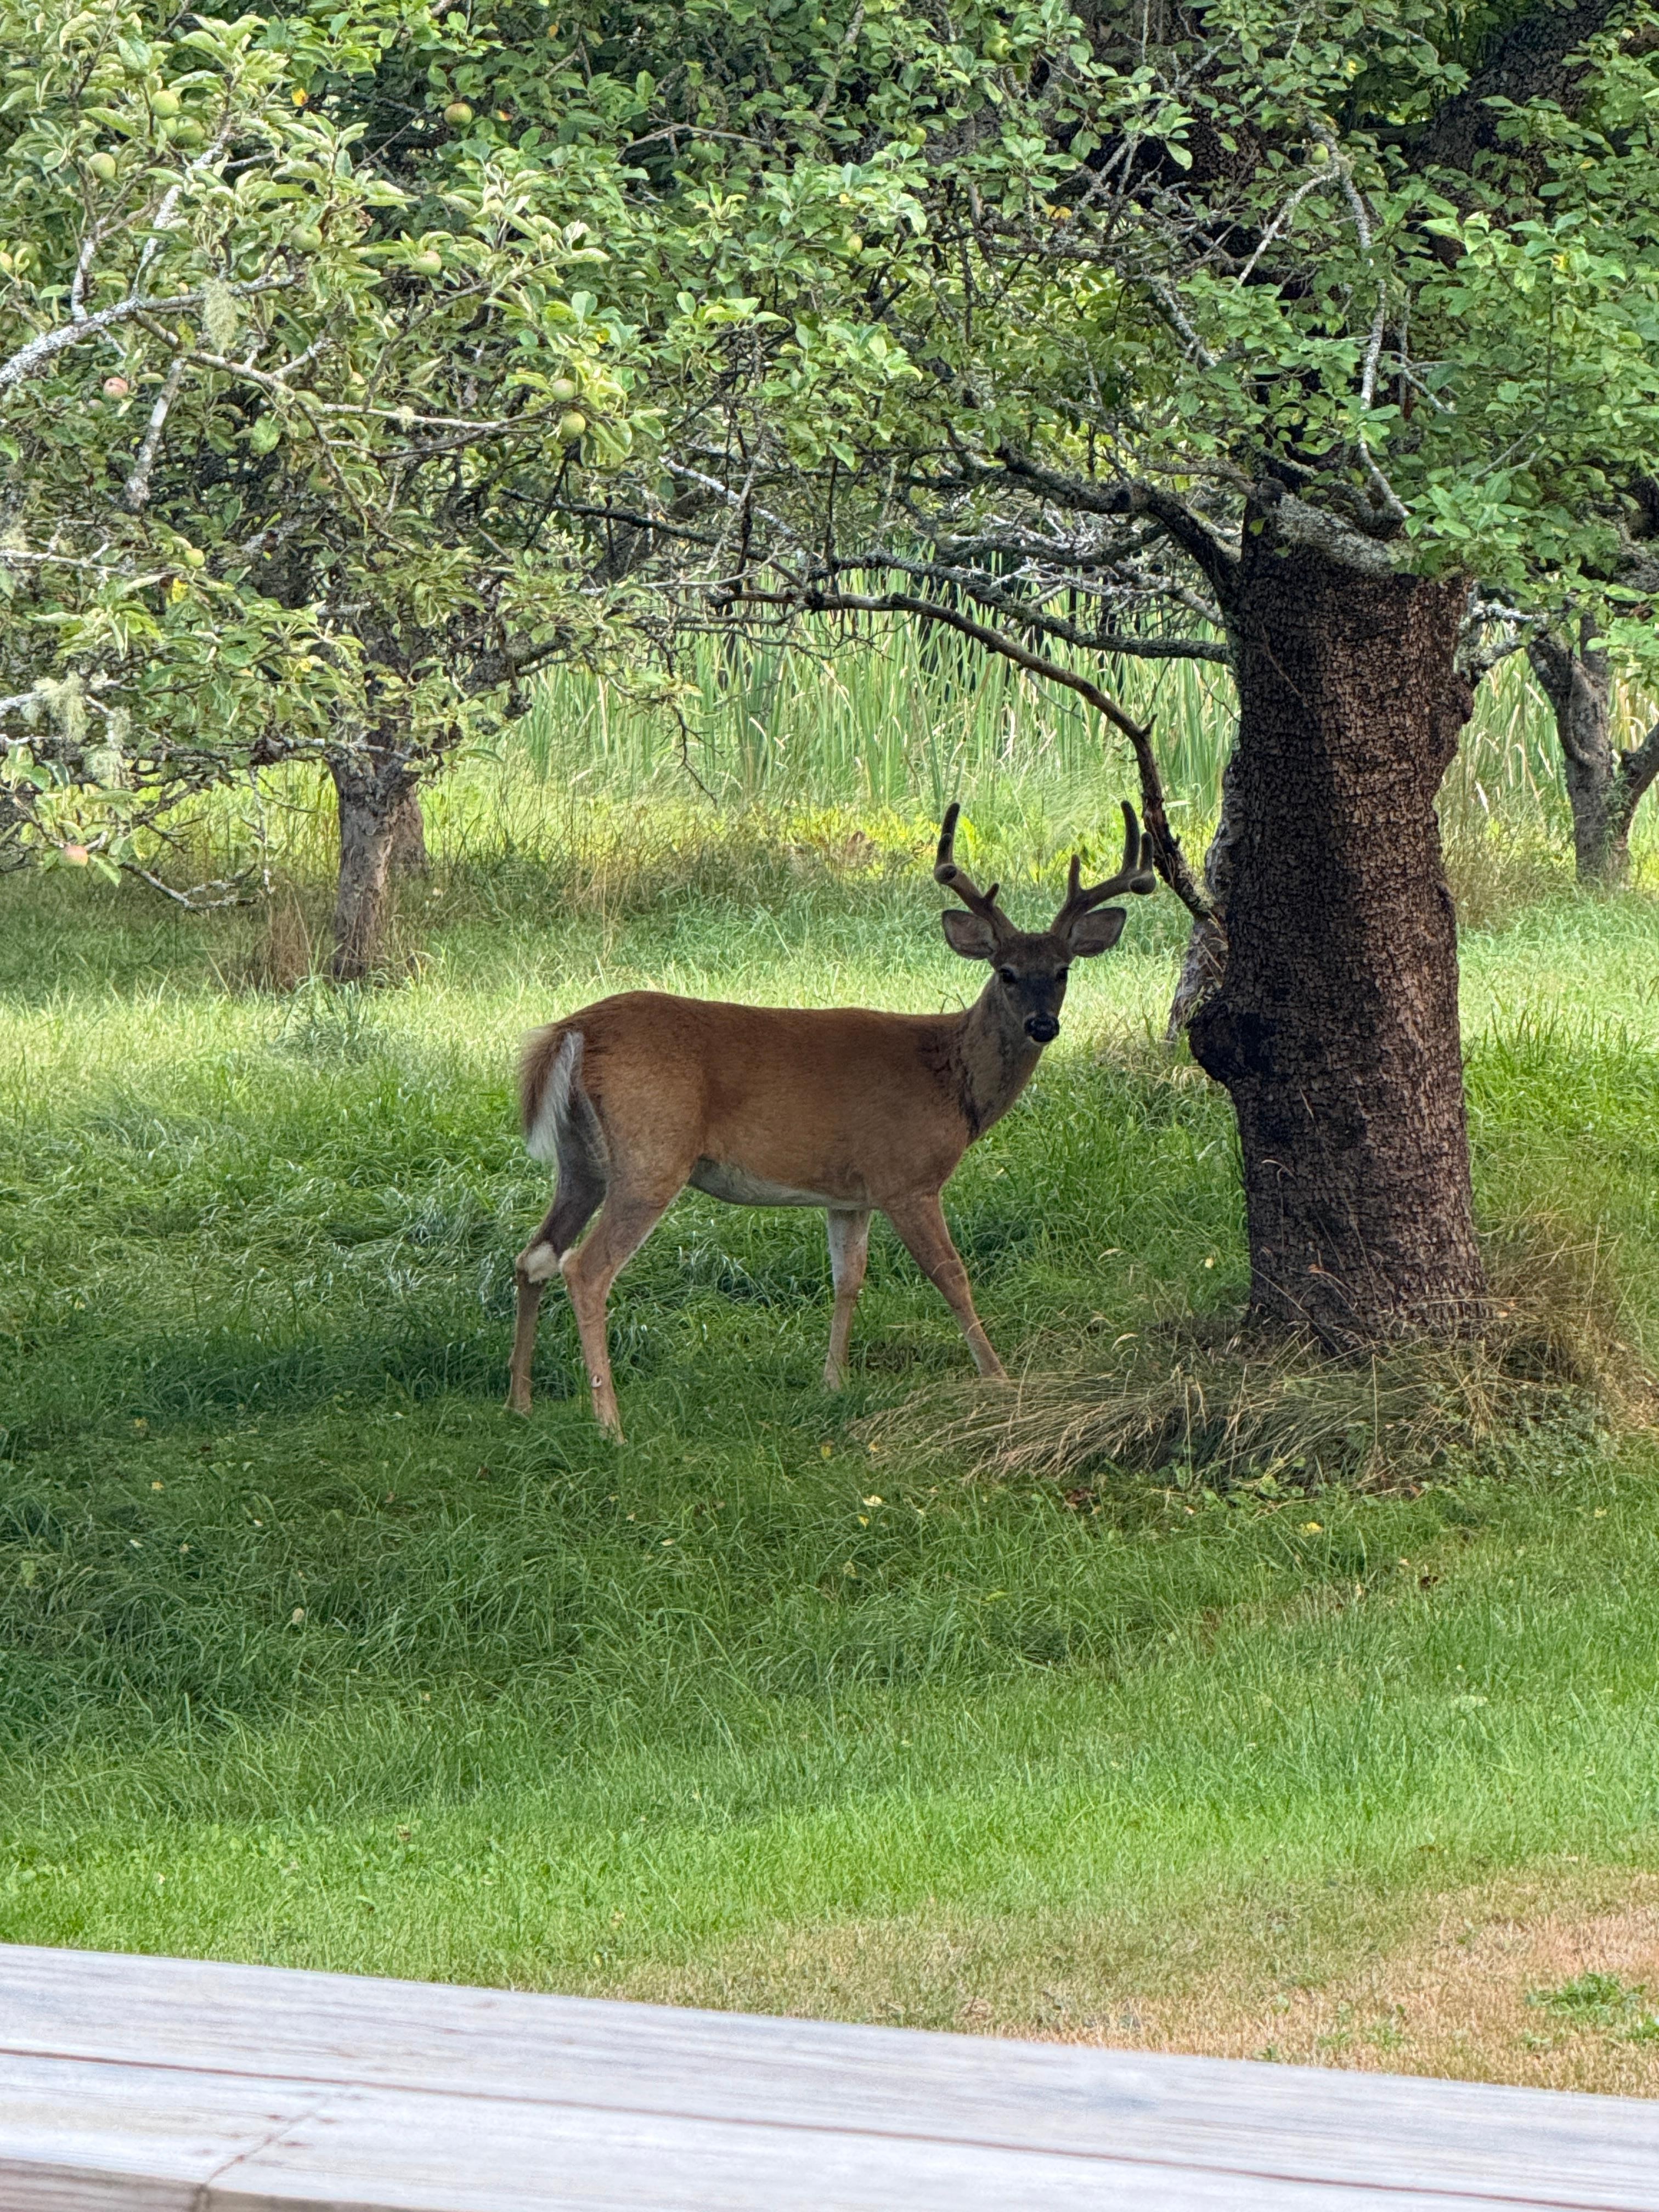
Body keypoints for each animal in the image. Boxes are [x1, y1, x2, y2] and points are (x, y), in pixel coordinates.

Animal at [507, 802, 1156, 1434]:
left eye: (1064, 971)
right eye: (1007, 973)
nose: (1043, 1025)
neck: (948, 1077)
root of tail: (573, 1030)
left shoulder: (850, 1195)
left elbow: (848, 1279)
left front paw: (834, 1382)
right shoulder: (907, 1178)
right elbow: (952, 1275)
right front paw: (998, 1379)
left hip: (581, 1160)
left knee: (534, 1256)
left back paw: (522, 1402)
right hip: (652, 1153)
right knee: (585, 1269)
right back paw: (610, 1424)